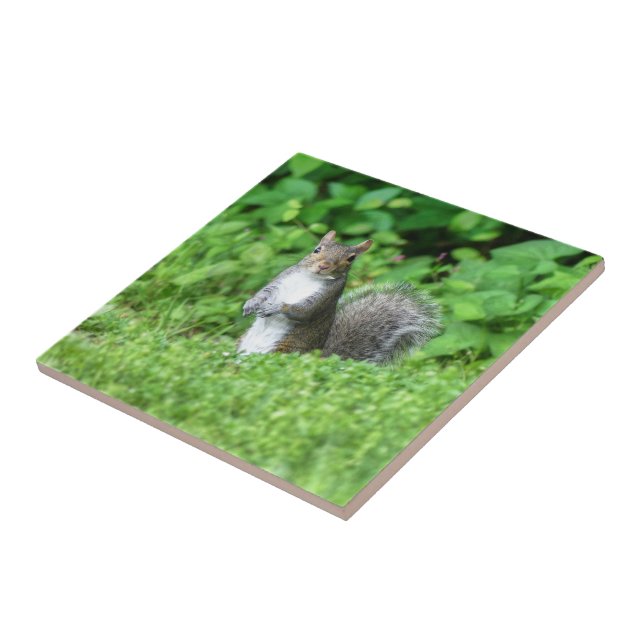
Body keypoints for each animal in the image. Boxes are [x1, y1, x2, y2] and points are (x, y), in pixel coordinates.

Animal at [238, 230, 441, 364]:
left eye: (351, 258)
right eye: (317, 249)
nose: (324, 266)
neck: (312, 278)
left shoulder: (326, 297)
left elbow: (303, 311)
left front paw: (276, 307)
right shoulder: (282, 279)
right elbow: (264, 293)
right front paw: (251, 303)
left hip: (282, 352)